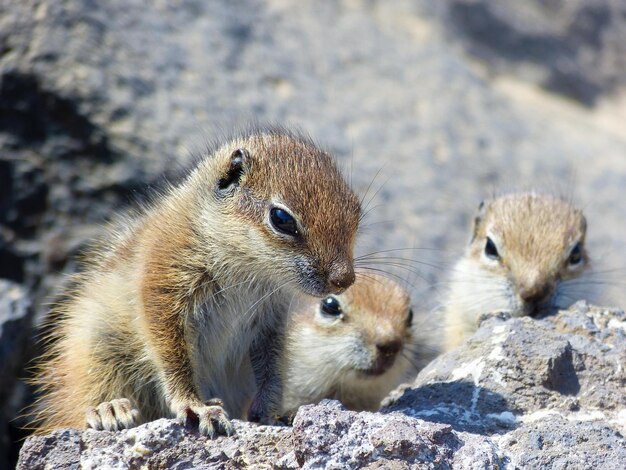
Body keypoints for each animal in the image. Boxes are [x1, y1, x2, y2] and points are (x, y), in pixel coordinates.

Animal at [30, 127, 360, 436]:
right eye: (281, 219)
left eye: (355, 209)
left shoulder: (271, 322)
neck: (250, 270)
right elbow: (172, 356)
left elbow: (273, 367)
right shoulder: (163, 286)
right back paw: (108, 409)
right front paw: (195, 405)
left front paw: (271, 411)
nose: (344, 279)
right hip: (97, 348)